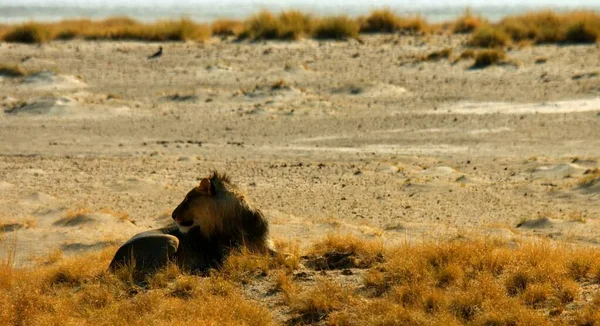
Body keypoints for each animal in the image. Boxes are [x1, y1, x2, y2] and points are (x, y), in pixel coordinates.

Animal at [109, 172, 276, 276]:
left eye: (188, 199)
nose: (172, 215)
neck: (238, 224)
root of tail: (112, 262)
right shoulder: (224, 257)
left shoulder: (265, 245)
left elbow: (278, 255)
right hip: (172, 239)